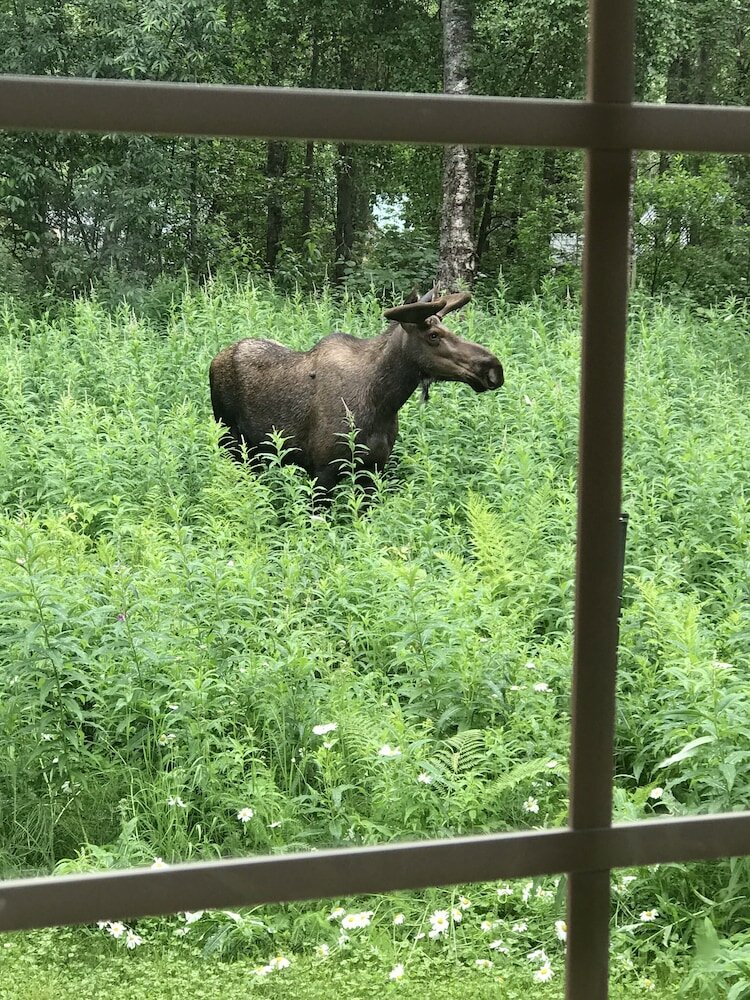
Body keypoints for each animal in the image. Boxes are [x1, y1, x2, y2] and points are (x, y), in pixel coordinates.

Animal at [208, 289, 504, 495]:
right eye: (433, 335)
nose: (494, 368)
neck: (383, 401)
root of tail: (214, 360)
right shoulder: (322, 470)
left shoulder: (374, 469)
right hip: (230, 439)